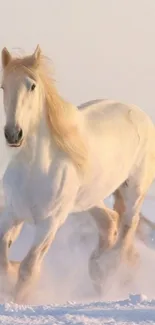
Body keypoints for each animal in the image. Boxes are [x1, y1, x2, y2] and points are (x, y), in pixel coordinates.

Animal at [0, 44, 155, 302]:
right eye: (3, 86)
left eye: (32, 85)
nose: (13, 134)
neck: (34, 169)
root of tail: (139, 113)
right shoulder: (12, 214)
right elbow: (4, 258)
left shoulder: (49, 223)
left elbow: (29, 268)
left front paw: (18, 299)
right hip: (90, 198)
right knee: (109, 221)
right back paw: (97, 271)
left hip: (134, 189)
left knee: (127, 227)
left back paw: (109, 271)